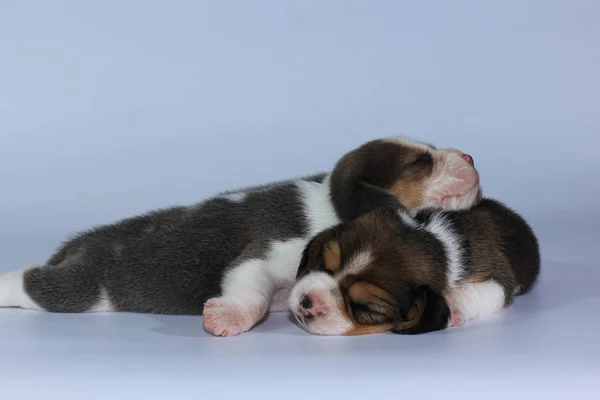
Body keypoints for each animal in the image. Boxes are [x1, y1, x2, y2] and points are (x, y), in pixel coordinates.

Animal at [0, 136, 480, 336]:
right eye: (420, 163)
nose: (472, 156)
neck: (331, 204)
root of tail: (77, 246)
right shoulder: (262, 256)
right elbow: (250, 293)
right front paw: (228, 317)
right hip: (82, 289)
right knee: (32, 282)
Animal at [288, 198, 540, 336]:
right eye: (322, 262)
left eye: (365, 308)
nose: (307, 302)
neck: (437, 241)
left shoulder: (497, 277)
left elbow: (491, 290)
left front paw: (453, 304)